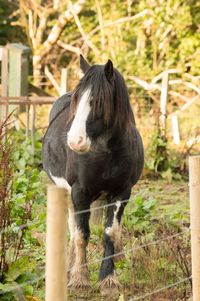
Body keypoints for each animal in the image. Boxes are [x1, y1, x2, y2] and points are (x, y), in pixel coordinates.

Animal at [42, 55, 145, 290]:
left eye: (98, 101)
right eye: (77, 99)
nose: (75, 141)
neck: (107, 150)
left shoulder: (121, 192)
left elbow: (111, 233)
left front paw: (108, 277)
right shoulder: (79, 192)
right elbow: (81, 234)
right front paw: (80, 277)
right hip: (66, 193)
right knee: (73, 227)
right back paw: (70, 266)